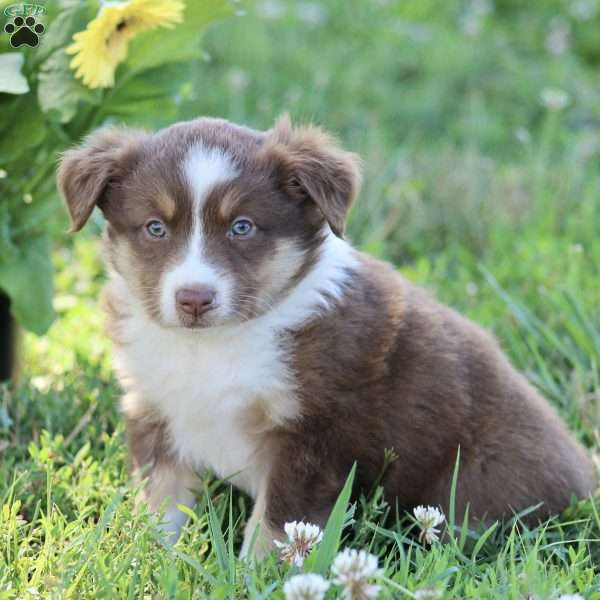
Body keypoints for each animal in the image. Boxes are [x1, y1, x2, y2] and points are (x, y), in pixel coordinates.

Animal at [56, 115, 596, 556]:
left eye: (242, 227)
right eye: (154, 228)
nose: (193, 299)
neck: (215, 344)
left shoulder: (313, 435)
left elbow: (274, 527)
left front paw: (250, 579)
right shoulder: (156, 410)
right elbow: (161, 507)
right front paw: (148, 560)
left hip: (476, 482)